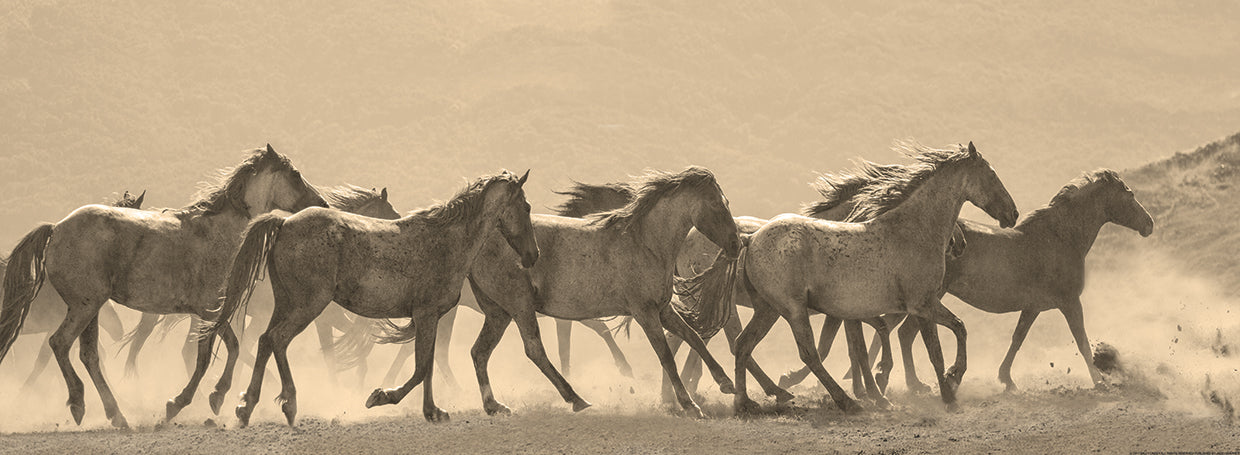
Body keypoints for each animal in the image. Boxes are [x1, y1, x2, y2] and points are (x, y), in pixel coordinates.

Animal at [204, 170, 537, 427]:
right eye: (526, 206)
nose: (532, 256)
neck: (447, 240)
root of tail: (284, 223)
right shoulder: (426, 314)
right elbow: (419, 369)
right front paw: (381, 396)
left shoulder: (429, 318)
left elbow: (427, 366)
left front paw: (432, 411)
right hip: (307, 306)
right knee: (277, 340)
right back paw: (288, 404)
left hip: (287, 304)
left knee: (265, 341)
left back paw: (246, 407)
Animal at [465, 166, 743, 419]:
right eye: (717, 204)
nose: (736, 245)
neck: (646, 243)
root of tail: (480, 243)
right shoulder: (645, 313)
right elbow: (665, 356)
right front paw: (690, 405)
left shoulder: (663, 309)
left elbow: (694, 337)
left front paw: (725, 383)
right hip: (519, 305)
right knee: (533, 350)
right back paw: (576, 399)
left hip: (499, 312)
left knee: (480, 351)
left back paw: (494, 406)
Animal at [693, 142, 1018, 413]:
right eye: (991, 175)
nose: (1012, 214)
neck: (912, 230)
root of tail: (751, 239)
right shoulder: (922, 305)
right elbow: (938, 346)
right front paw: (949, 388)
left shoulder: (910, 308)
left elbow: (953, 330)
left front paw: (946, 381)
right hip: (793, 310)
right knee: (808, 353)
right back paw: (845, 401)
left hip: (768, 310)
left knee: (743, 345)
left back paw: (746, 403)